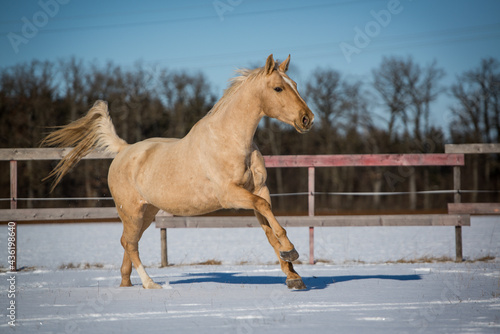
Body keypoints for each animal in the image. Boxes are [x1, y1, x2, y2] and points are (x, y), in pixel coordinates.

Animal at [45, 54, 314, 290]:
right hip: (131, 211)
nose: (307, 119)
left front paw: (293, 276)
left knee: (128, 242)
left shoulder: (259, 189)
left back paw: (126, 283)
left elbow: (268, 228)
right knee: (130, 244)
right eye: (278, 88)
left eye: (295, 85)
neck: (232, 141)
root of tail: (123, 150)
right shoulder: (230, 195)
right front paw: (290, 251)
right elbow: (267, 212)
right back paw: (150, 284)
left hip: (146, 212)